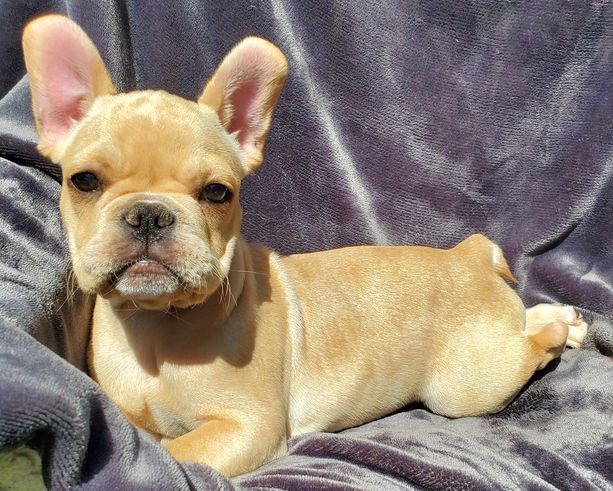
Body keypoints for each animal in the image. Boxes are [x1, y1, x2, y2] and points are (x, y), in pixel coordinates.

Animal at [22, 15, 588, 477]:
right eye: (83, 181)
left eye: (217, 192)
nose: (149, 213)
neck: (156, 324)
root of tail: (468, 256)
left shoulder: (244, 426)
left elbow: (171, 453)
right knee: (525, 318)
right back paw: (566, 317)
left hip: (464, 384)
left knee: (528, 348)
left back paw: (561, 330)